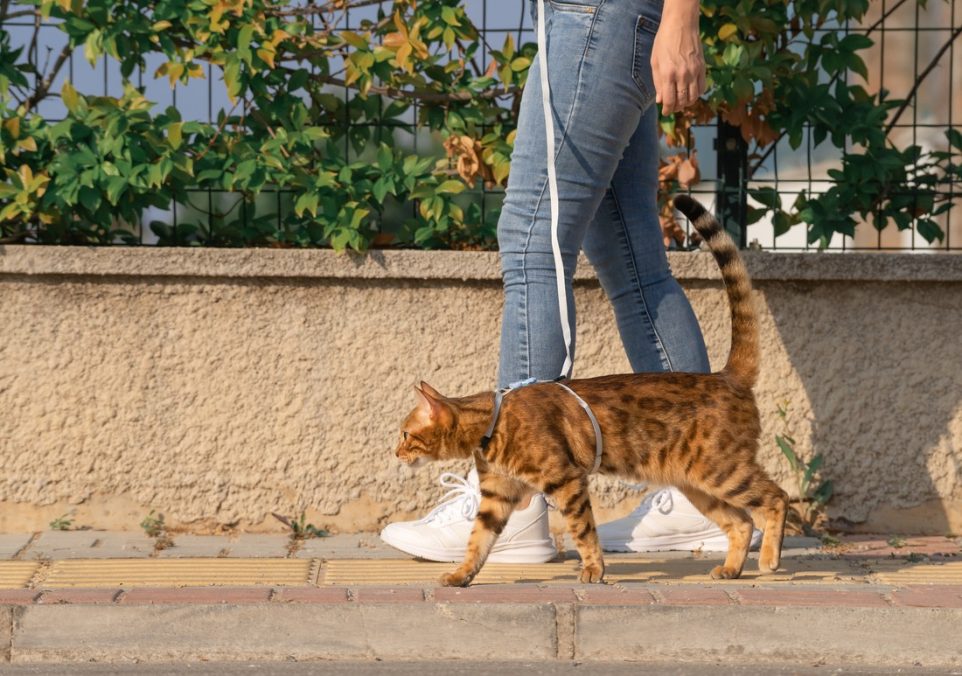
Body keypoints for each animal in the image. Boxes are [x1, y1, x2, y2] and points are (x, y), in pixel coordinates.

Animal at [392, 194, 788, 588]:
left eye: (406, 434)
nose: (395, 453)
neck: (494, 422)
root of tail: (727, 375)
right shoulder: (496, 495)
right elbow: (478, 541)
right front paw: (461, 574)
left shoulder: (566, 480)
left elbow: (582, 530)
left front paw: (594, 569)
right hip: (696, 482)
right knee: (741, 521)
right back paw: (731, 568)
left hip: (721, 469)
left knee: (776, 498)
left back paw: (769, 559)